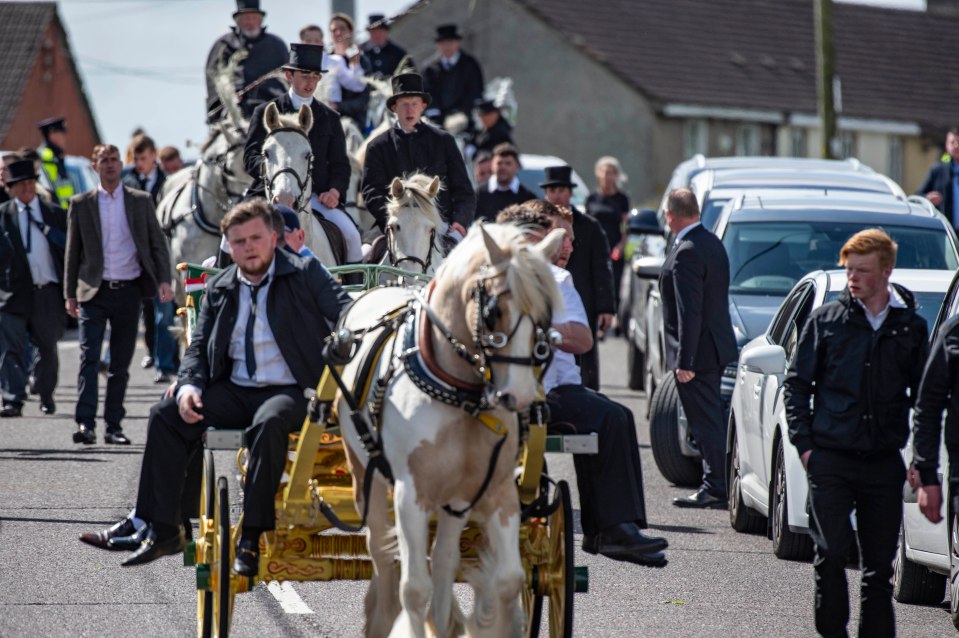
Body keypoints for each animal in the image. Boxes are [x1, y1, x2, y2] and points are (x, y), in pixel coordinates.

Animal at [336, 225, 564, 638]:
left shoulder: (496, 489)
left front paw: (486, 620)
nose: (519, 396)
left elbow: (508, 578)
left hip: (456, 498)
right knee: (382, 555)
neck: (459, 394)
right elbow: (413, 587)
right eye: (493, 312)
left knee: (442, 559)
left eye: (545, 314)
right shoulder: (411, 493)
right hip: (367, 477)